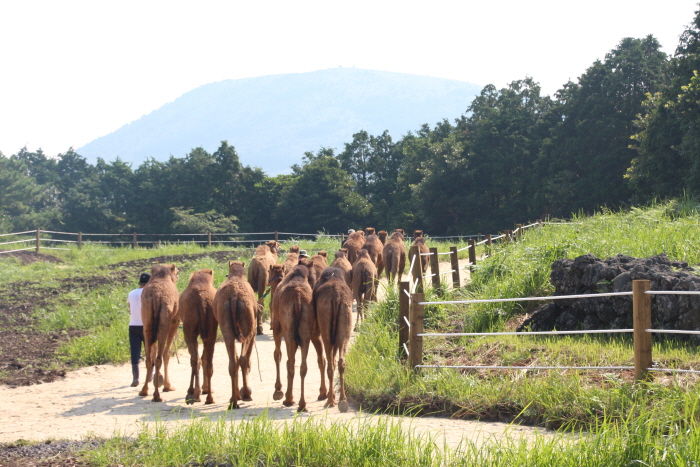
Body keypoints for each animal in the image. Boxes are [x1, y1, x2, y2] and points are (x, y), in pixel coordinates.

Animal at [139, 264, 180, 402]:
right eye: (177, 271)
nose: (178, 275)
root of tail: (156, 297)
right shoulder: (175, 321)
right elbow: (167, 354)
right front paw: (168, 386)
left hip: (147, 323)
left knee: (149, 359)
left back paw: (144, 391)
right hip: (163, 324)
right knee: (158, 358)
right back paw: (157, 395)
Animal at [179, 270, 217, 406]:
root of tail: (202, 301)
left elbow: (196, 359)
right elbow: (204, 358)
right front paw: (205, 389)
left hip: (189, 330)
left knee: (195, 359)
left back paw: (191, 394)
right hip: (211, 330)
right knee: (208, 361)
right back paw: (209, 397)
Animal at [215, 262, 258, 408]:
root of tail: (234, 297)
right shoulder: (253, 332)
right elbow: (247, 359)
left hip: (225, 325)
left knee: (233, 362)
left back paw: (234, 401)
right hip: (248, 327)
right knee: (243, 359)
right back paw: (246, 395)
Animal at [272, 264, 330, 414]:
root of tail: (298, 299)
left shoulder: (277, 325)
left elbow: (277, 355)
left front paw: (278, 390)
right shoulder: (314, 333)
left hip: (289, 331)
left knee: (291, 362)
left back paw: (289, 399)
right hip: (306, 330)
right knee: (306, 365)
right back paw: (305, 403)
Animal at [314, 266, 352, 414]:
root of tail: (336, 297)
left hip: (325, 323)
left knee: (330, 363)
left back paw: (330, 401)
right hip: (345, 315)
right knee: (341, 360)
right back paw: (342, 401)